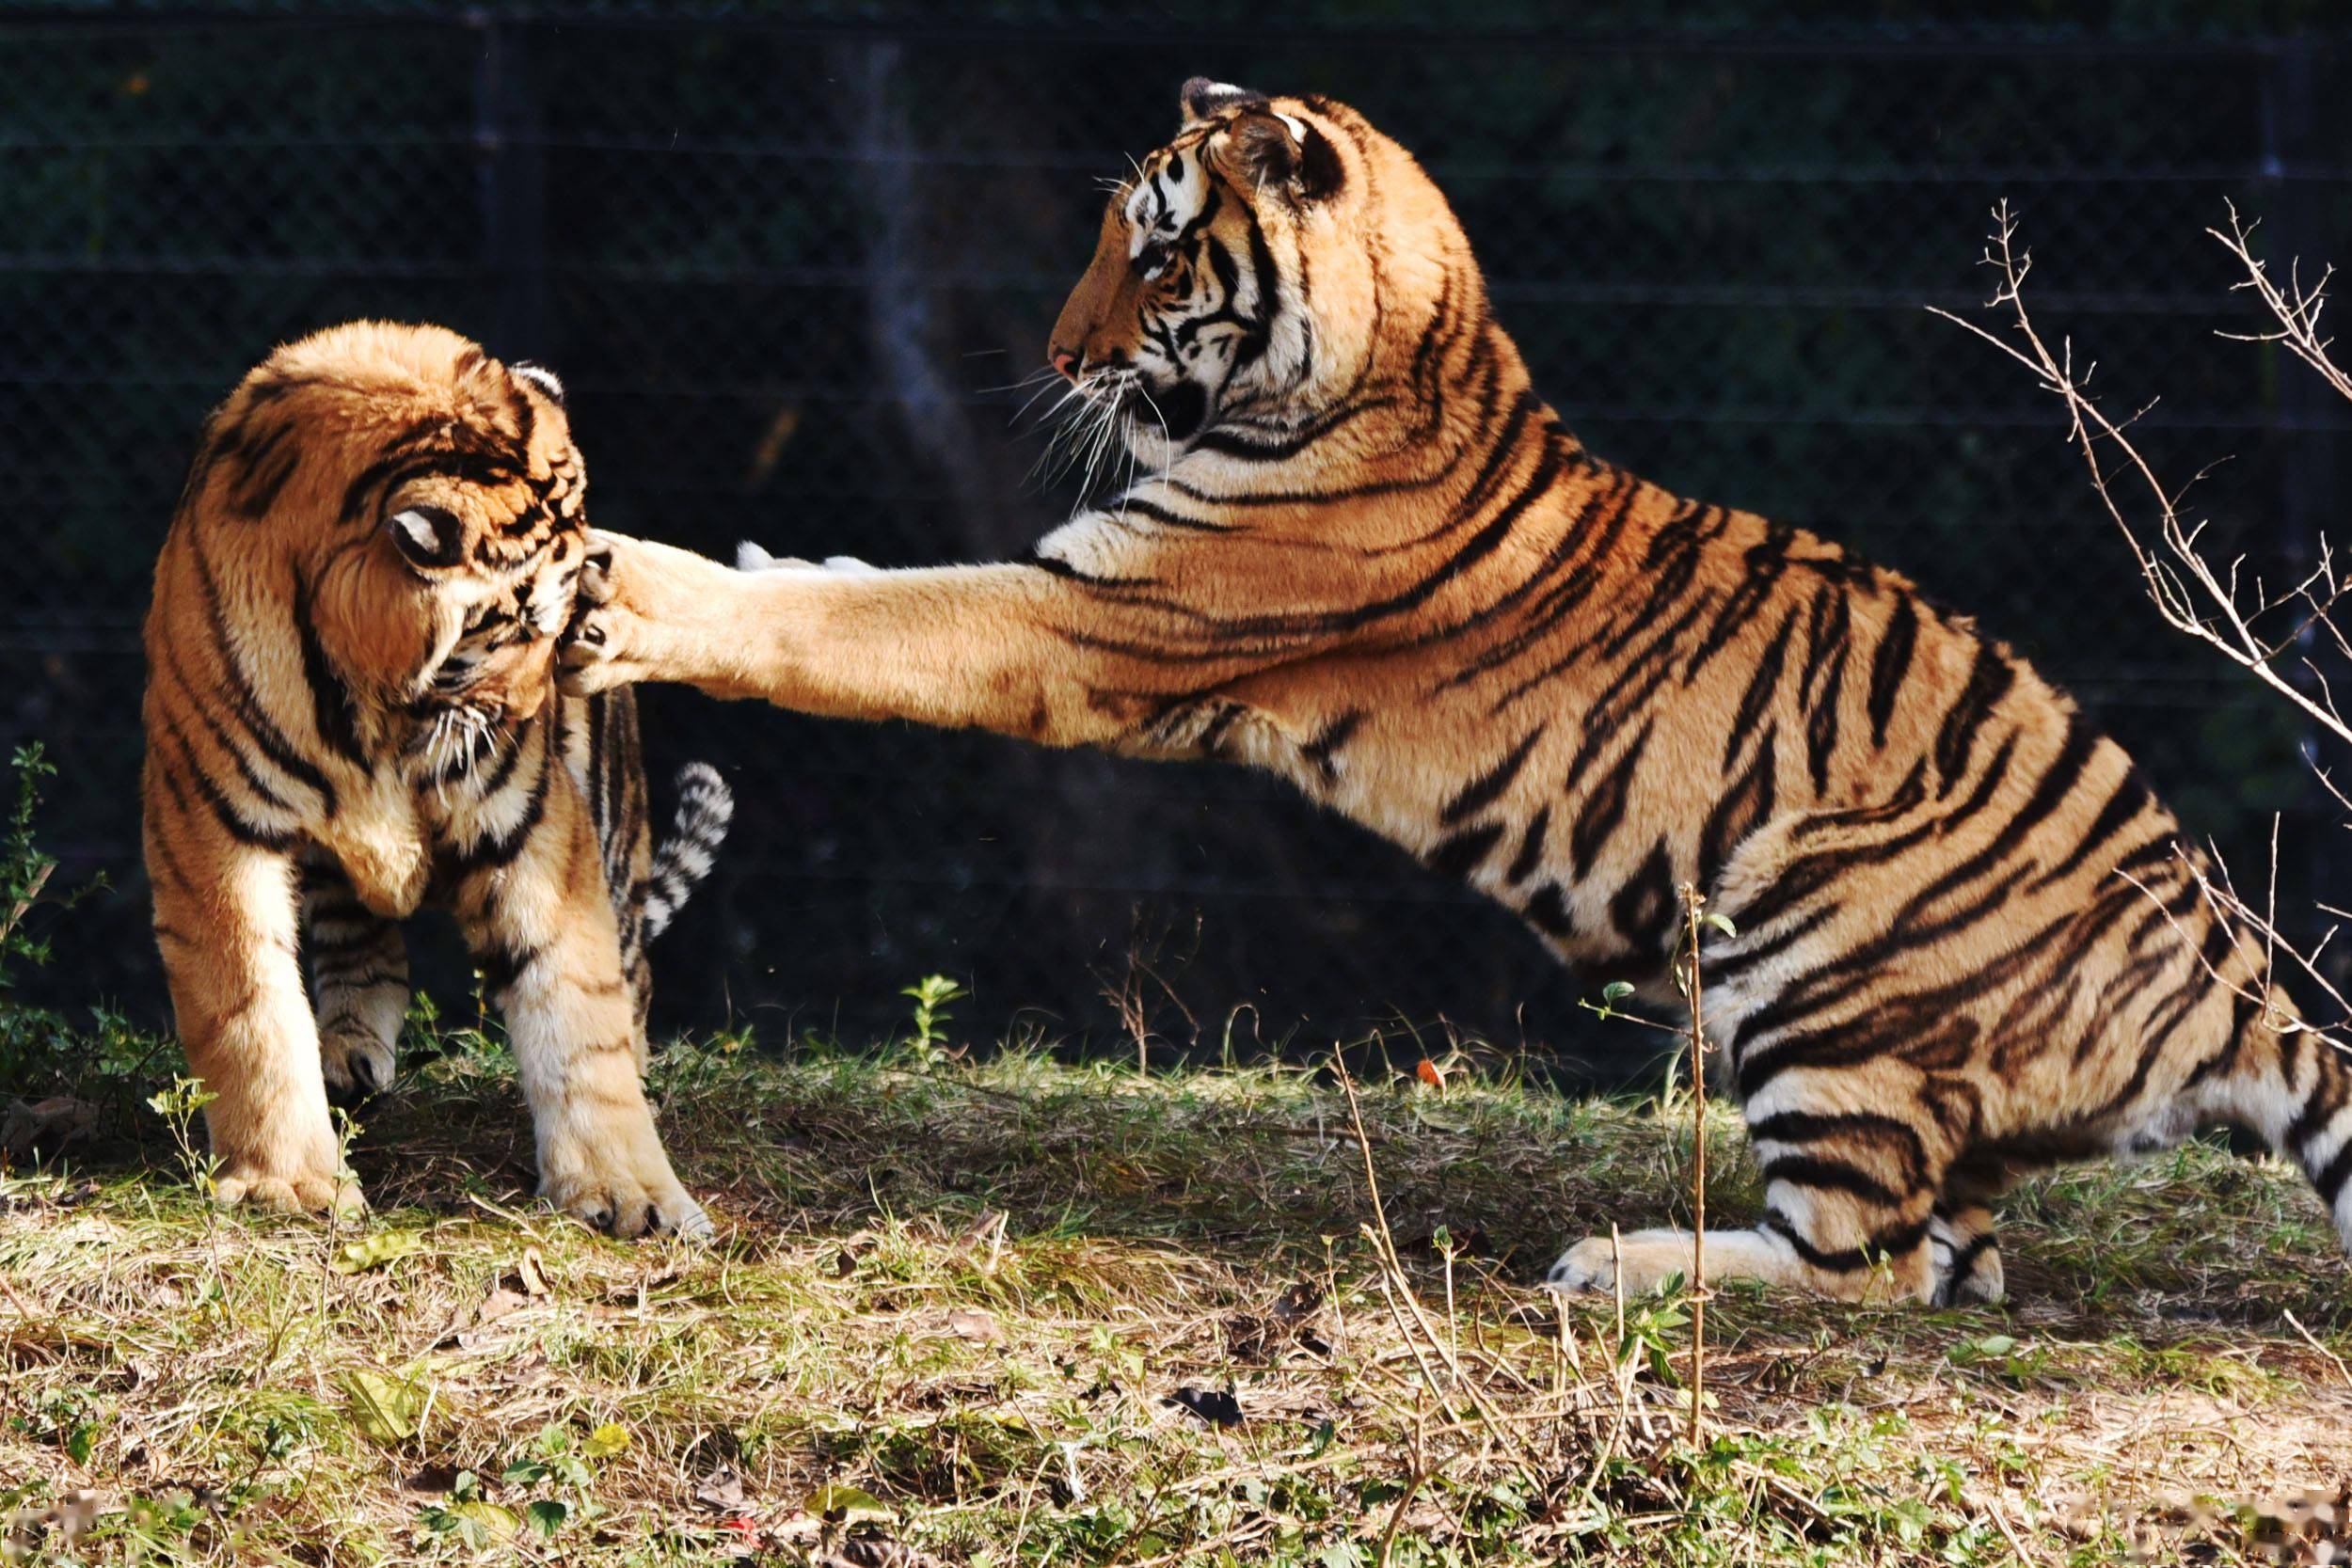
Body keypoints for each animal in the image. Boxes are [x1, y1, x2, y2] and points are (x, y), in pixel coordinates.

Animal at [142, 319, 729, 1241]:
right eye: (519, 621)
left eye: (565, 613)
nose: (539, 705)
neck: (374, 700)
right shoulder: (213, 822)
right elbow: (250, 1009)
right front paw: (292, 1186)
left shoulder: (534, 826)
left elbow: (576, 1005)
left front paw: (632, 1192)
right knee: (357, 934)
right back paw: (349, 1052)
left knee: (629, 974)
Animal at [564, 79, 2352, 1297]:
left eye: (1155, 255)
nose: (1061, 358)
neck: (1400, 357)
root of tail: (2221, 967)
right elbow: (849, 589)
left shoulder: (1093, 618)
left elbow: (867, 622)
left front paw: (636, 585)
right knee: (1951, 1254)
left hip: (1809, 925)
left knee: (1869, 1256)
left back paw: (1625, 1262)